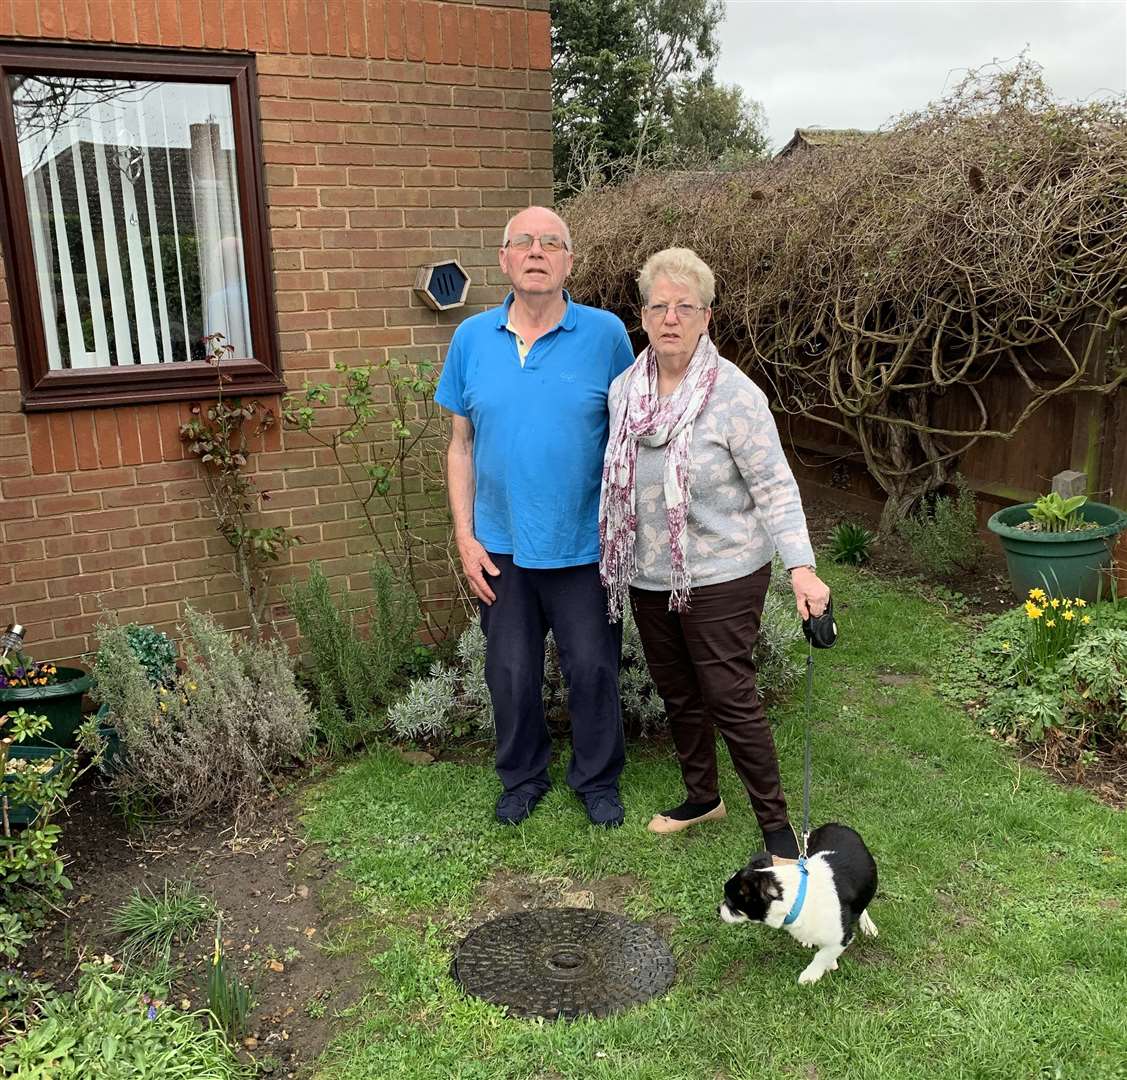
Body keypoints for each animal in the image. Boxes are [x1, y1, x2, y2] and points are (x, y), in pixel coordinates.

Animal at [721, 825, 879, 983]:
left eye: (730, 903)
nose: (718, 909)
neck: (799, 899)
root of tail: (838, 825)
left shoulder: (842, 937)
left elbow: (822, 955)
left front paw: (810, 975)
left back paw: (867, 925)